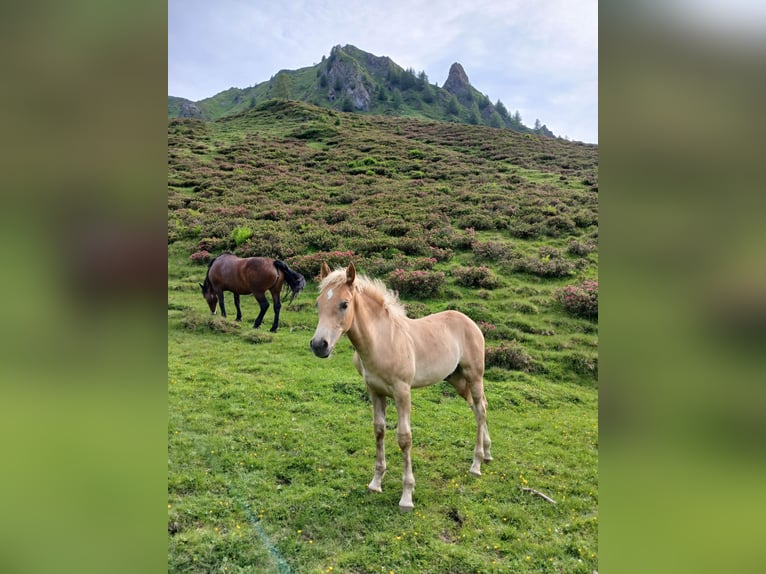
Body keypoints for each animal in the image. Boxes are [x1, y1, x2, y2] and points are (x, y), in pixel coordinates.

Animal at [310, 261, 491, 511]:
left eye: (344, 304)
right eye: (318, 303)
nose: (319, 345)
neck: (382, 342)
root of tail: (470, 322)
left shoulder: (402, 392)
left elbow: (404, 438)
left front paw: (407, 496)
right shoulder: (375, 391)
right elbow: (379, 430)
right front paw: (376, 482)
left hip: (474, 376)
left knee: (480, 410)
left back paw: (476, 464)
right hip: (456, 379)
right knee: (478, 407)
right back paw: (487, 452)